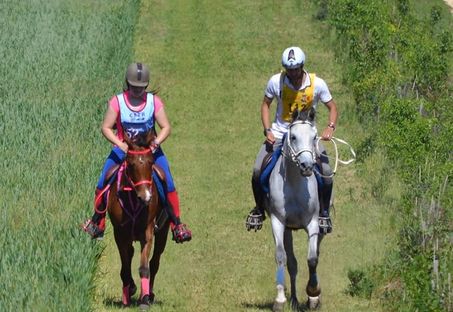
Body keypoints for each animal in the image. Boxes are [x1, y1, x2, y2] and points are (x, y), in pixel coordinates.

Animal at [106, 130, 170, 310]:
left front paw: (144, 300)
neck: (134, 201)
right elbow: (125, 267)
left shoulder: (147, 233)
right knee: (130, 254)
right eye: (131, 164)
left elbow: (144, 268)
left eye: (151, 162)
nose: (146, 197)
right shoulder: (119, 234)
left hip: (163, 232)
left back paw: (150, 294)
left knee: (154, 262)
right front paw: (128, 294)